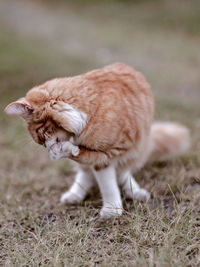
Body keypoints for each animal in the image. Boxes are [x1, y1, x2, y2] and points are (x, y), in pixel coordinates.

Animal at [3, 63, 190, 219]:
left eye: (40, 136)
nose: (46, 148)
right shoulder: (99, 156)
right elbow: (87, 163)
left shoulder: (108, 154)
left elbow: (107, 183)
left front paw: (112, 209)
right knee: (86, 174)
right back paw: (74, 194)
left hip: (137, 151)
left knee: (123, 172)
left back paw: (135, 191)